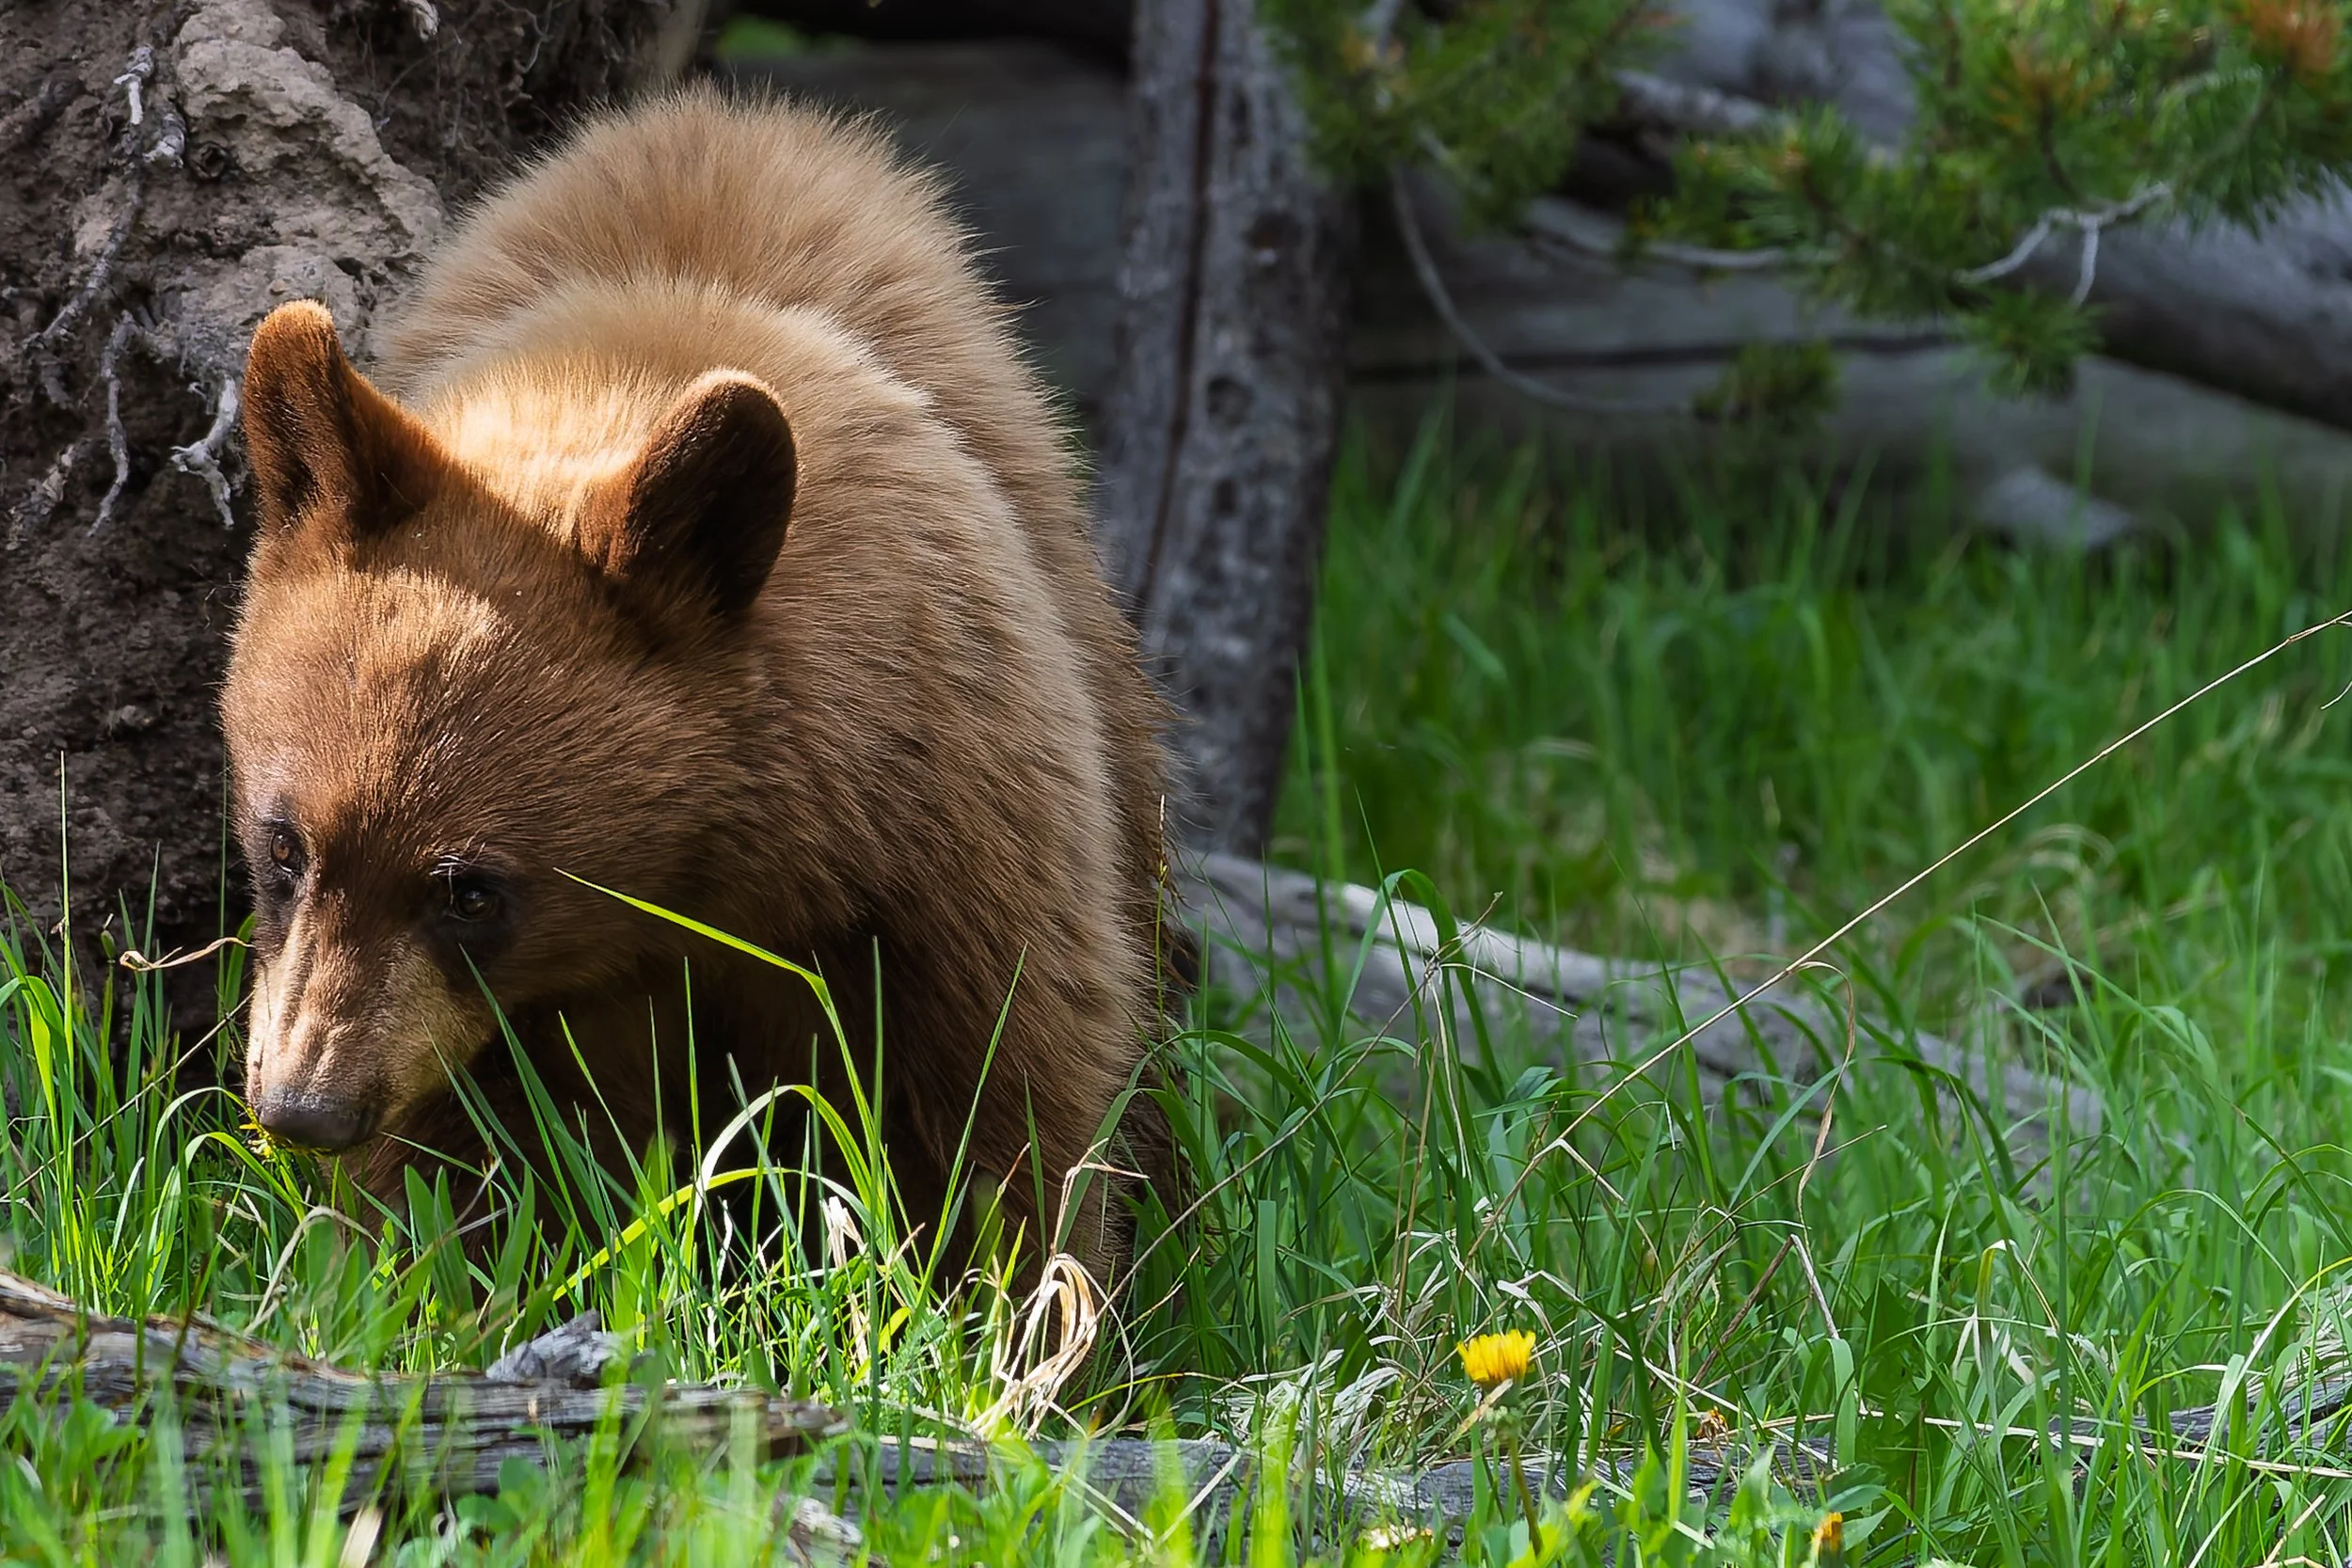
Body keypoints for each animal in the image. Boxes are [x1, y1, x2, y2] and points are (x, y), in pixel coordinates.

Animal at [219, 86, 1181, 1286]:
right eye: (284, 846)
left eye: (471, 886)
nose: (305, 1106)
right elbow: (456, 1181)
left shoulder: (941, 831)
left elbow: (1011, 1099)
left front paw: (1026, 1314)